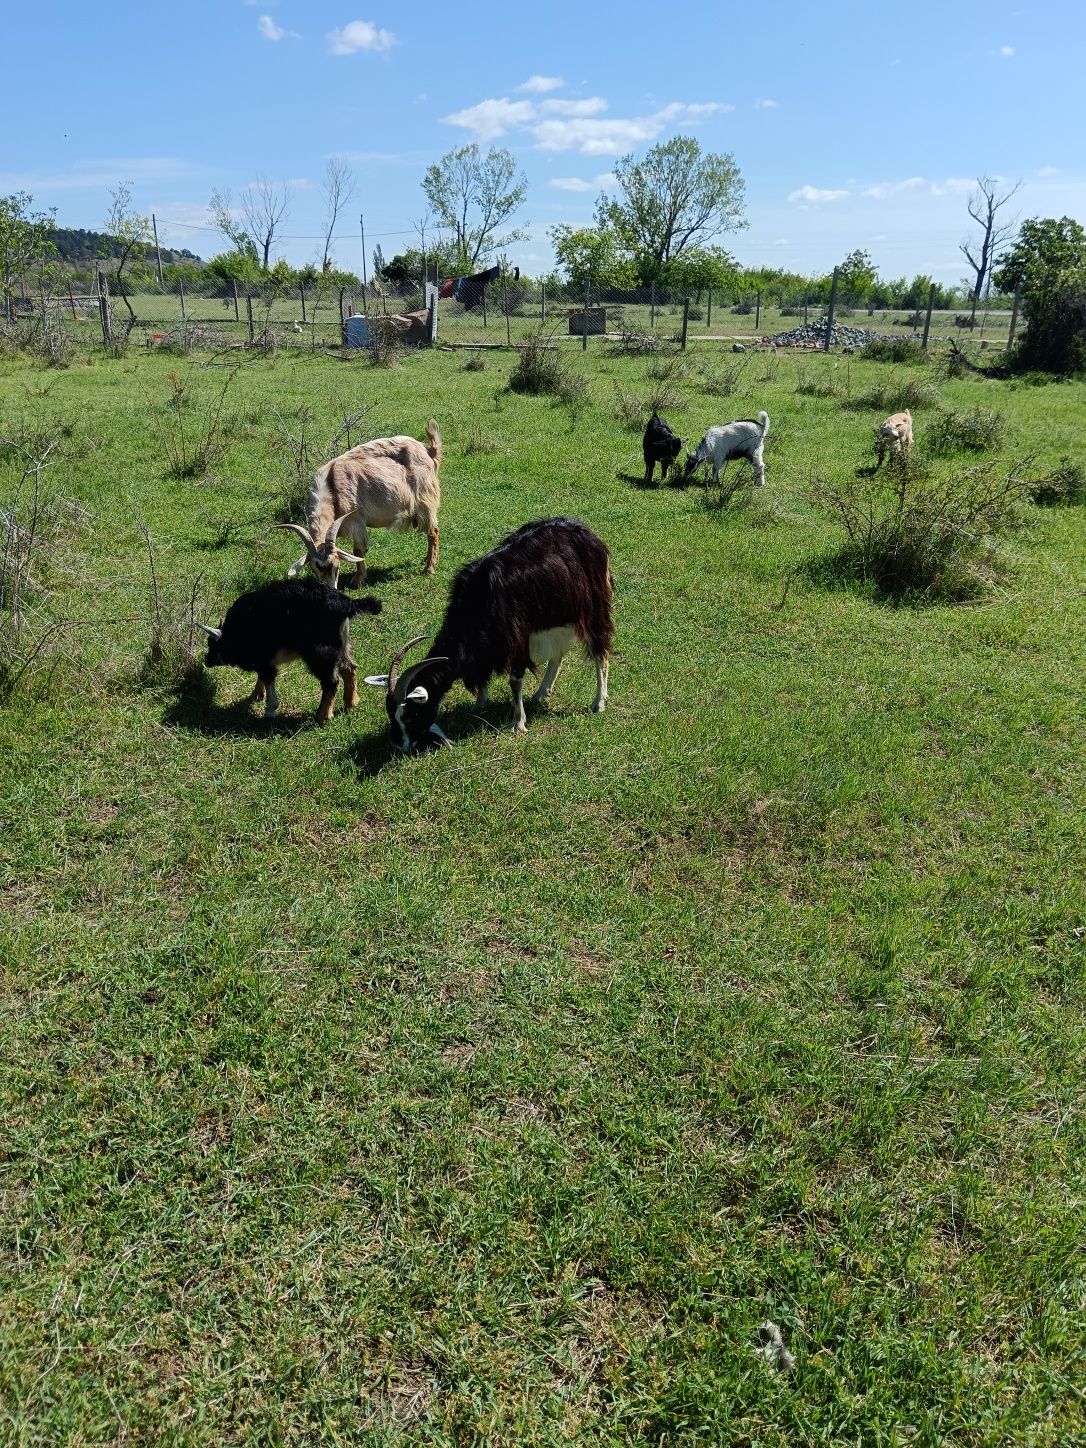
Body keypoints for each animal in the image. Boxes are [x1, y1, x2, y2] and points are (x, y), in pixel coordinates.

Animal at [202, 576, 385, 724]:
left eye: (212, 645)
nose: (207, 661)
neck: (235, 633)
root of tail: (347, 603)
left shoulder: (264, 658)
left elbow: (268, 677)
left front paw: (270, 710)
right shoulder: (264, 659)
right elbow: (262, 676)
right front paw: (256, 694)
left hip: (319, 652)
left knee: (331, 681)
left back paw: (323, 716)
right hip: (342, 643)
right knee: (349, 668)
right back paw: (351, 702)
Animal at [278, 422, 443, 590]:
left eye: (336, 566)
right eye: (314, 569)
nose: (330, 589)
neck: (331, 488)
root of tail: (428, 451)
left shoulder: (356, 519)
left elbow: (358, 550)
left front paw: (358, 580)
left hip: (425, 500)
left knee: (433, 532)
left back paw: (429, 568)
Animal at [367, 518, 613, 747]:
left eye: (410, 716)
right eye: (391, 714)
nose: (399, 744)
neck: (479, 596)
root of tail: (586, 532)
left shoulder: (517, 637)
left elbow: (515, 680)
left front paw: (518, 723)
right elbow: (483, 672)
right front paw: (480, 703)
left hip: (593, 606)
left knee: (600, 652)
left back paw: (598, 702)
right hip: (555, 615)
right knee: (558, 654)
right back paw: (541, 693)